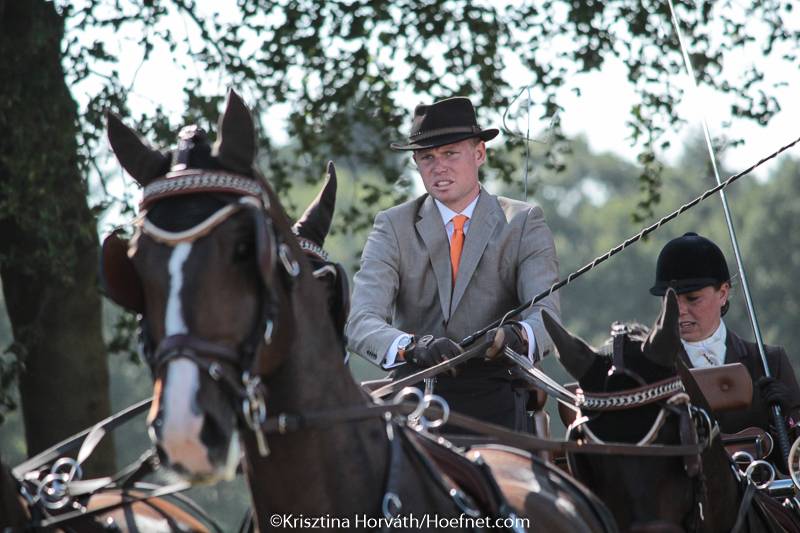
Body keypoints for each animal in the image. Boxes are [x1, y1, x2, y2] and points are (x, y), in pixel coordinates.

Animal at [104, 91, 620, 532]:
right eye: (135, 261)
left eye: (246, 249)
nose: (185, 428)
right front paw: (429, 349)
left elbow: (538, 312)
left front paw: (506, 337)